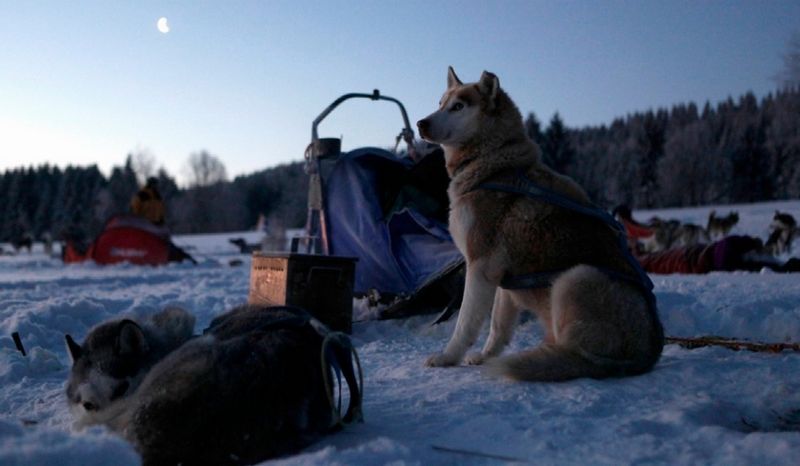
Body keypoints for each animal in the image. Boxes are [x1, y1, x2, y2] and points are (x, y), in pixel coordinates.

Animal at [416, 69, 664, 382]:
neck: (492, 168)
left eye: (458, 106)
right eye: (440, 103)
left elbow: (465, 325)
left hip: (575, 278)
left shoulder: (479, 267)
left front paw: (448, 357)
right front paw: (485, 356)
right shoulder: (501, 279)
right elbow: (497, 327)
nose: (420, 123)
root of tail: (650, 351)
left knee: (578, 358)